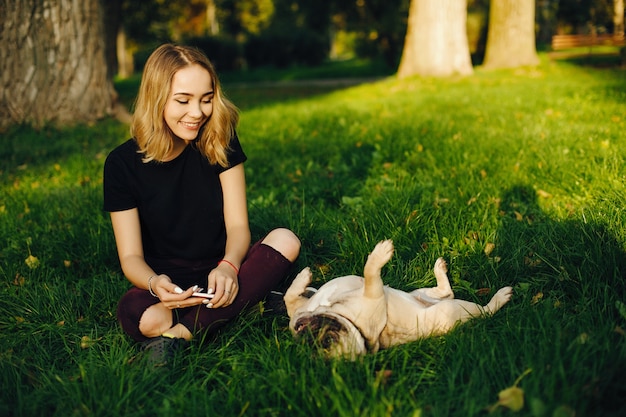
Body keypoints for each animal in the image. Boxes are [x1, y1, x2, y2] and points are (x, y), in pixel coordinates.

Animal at [286, 239, 510, 360]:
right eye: (329, 341)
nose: (309, 331)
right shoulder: (373, 296)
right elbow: (370, 275)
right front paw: (379, 255)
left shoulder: (300, 309)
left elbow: (289, 298)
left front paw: (303, 279)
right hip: (453, 309)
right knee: (482, 310)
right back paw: (501, 297)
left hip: (420, 292)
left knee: (445, 291)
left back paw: (439, 267)